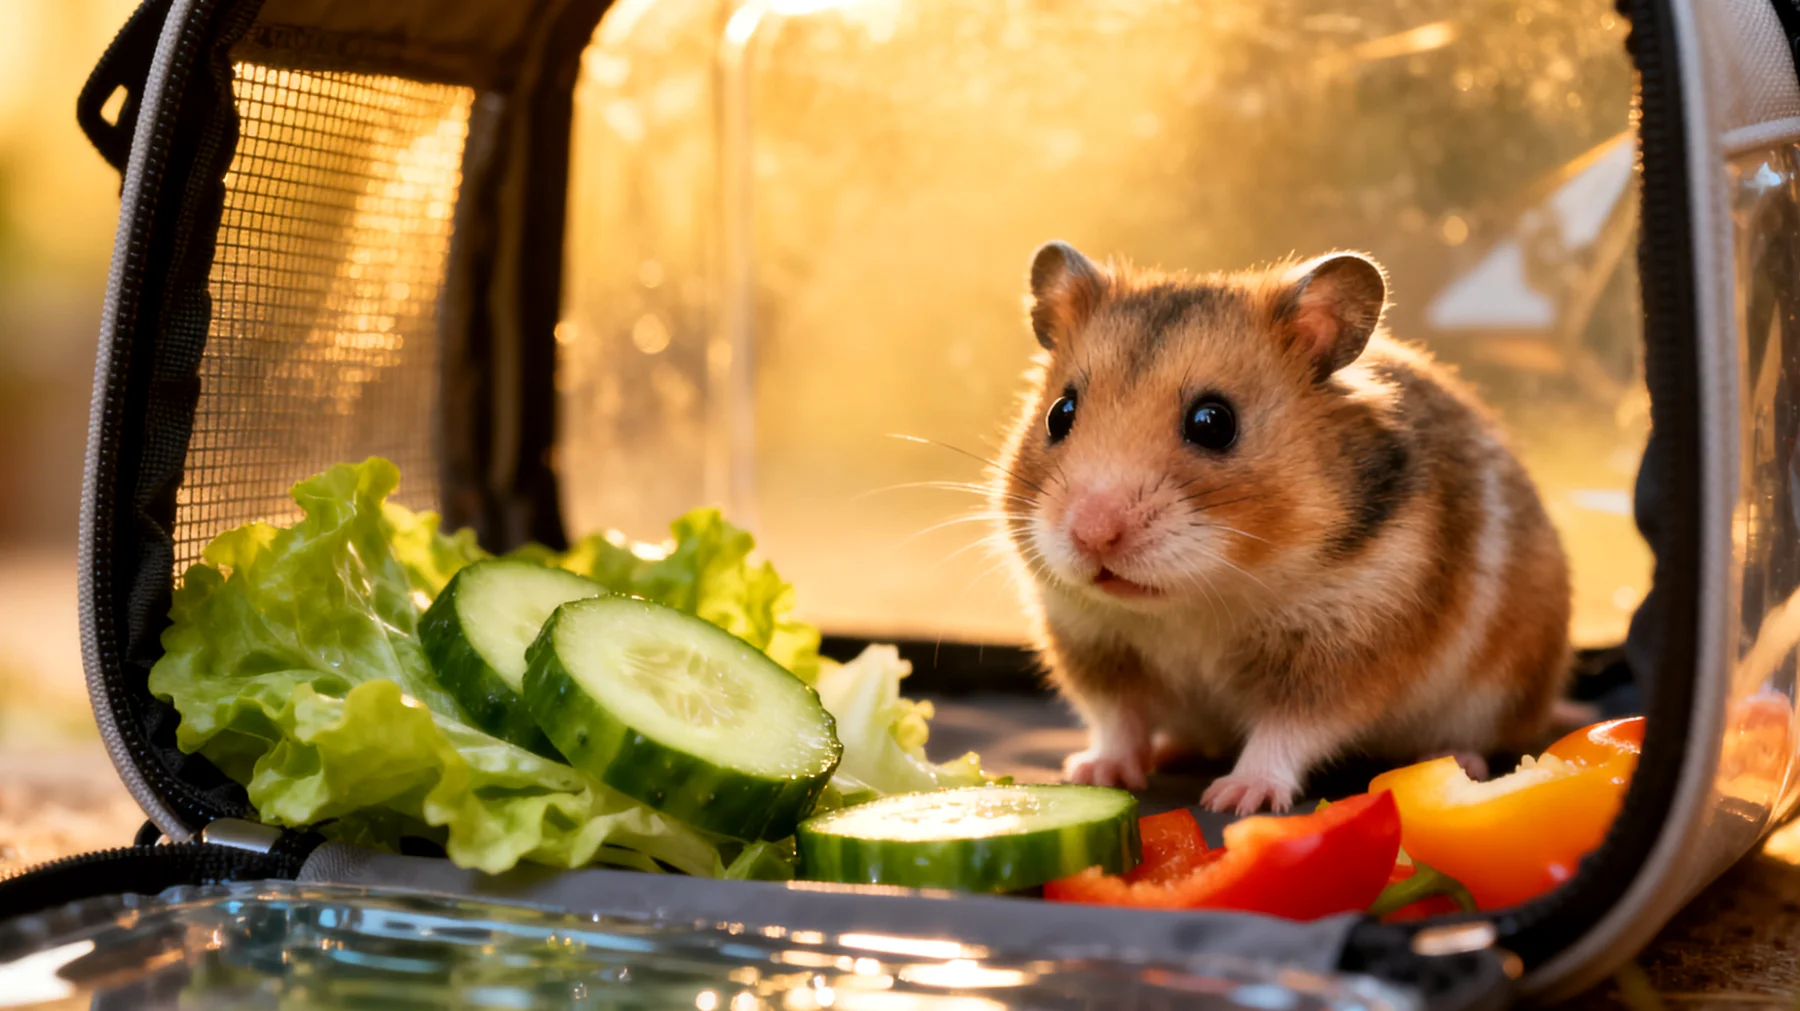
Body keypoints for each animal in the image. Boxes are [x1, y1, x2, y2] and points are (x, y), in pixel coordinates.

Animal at [995, 241, 1571, 815]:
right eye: (1059, 413)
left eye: (1213, 422)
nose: (1092, 535)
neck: (1196, 600)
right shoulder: (1093, 642)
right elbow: (1117, 719)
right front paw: (1094, 773)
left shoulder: (1340, 653)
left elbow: (1287, 731)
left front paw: (1235, 798)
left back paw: (1457, 761)